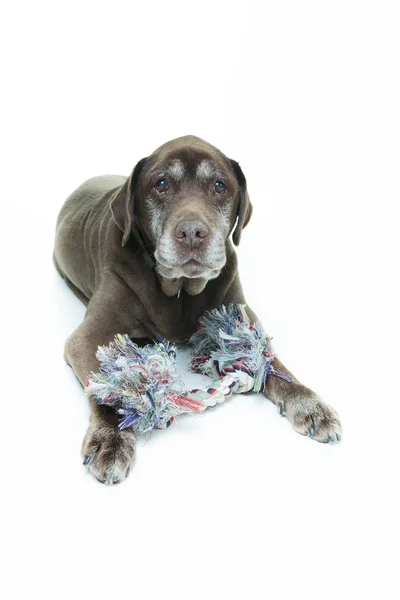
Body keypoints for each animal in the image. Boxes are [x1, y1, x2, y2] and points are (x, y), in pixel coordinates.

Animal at [52, 135, 340, 482]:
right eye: (161, 184)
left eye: (219, 185)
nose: (192, 232)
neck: (178, 291)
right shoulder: (89, 335)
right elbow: (106, 385)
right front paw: (112, 436)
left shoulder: (239, 315)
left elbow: (270, 362)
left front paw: (307, 402)